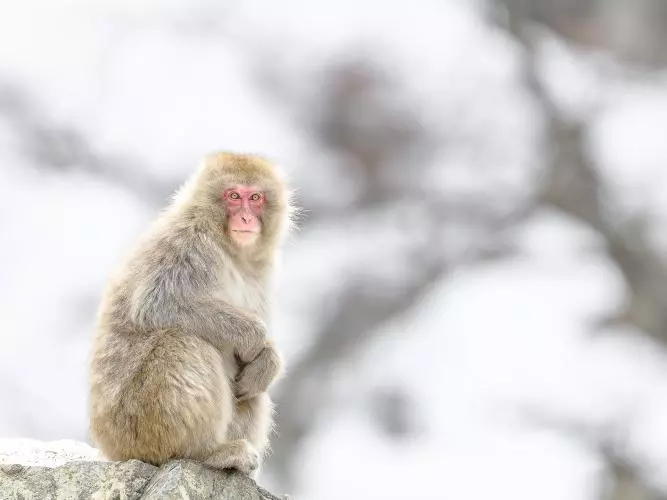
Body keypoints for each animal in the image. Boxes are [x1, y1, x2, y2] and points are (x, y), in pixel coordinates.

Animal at [88, 152, 294, 477]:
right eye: (233, 196)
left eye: (256, 197)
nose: (246, 218)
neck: (230, 249)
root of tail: (112, 450)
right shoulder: (190, 243)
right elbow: (156, 303)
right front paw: (253, 334)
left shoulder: (265, 270)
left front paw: (269, 359)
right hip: (138, 429)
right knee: (181, 343)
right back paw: (206, 452)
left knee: (254, 391)